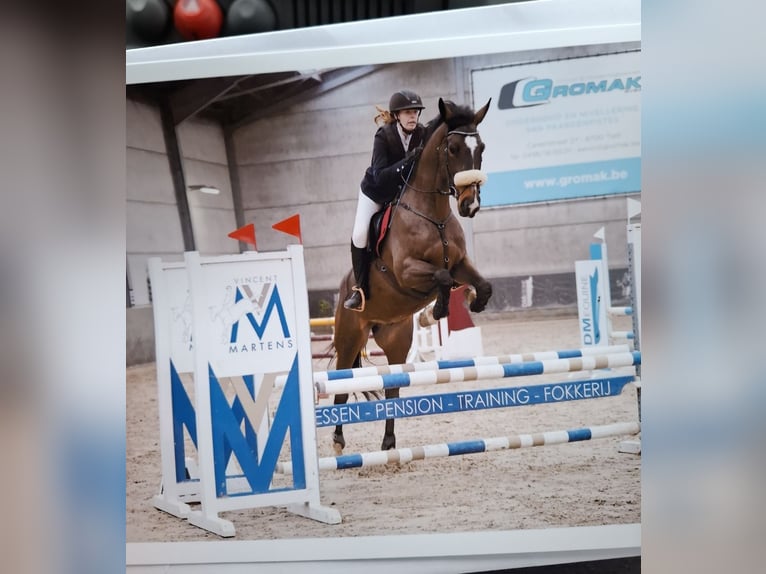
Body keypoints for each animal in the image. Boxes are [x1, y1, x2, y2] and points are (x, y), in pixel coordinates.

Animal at [332, 97, 494, 455]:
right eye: (452, 148)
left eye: (481, 148)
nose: (471, 205)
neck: (433, 215)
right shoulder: (407, 271)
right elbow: (443, 278)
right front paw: (437, 311)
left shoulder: (460, 263)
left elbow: (480, 283)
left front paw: (472, 303)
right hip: (349, 336)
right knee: (340, 381)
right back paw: (337, 439)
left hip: (395, 340)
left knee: (392, 386)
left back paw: (389, 442)